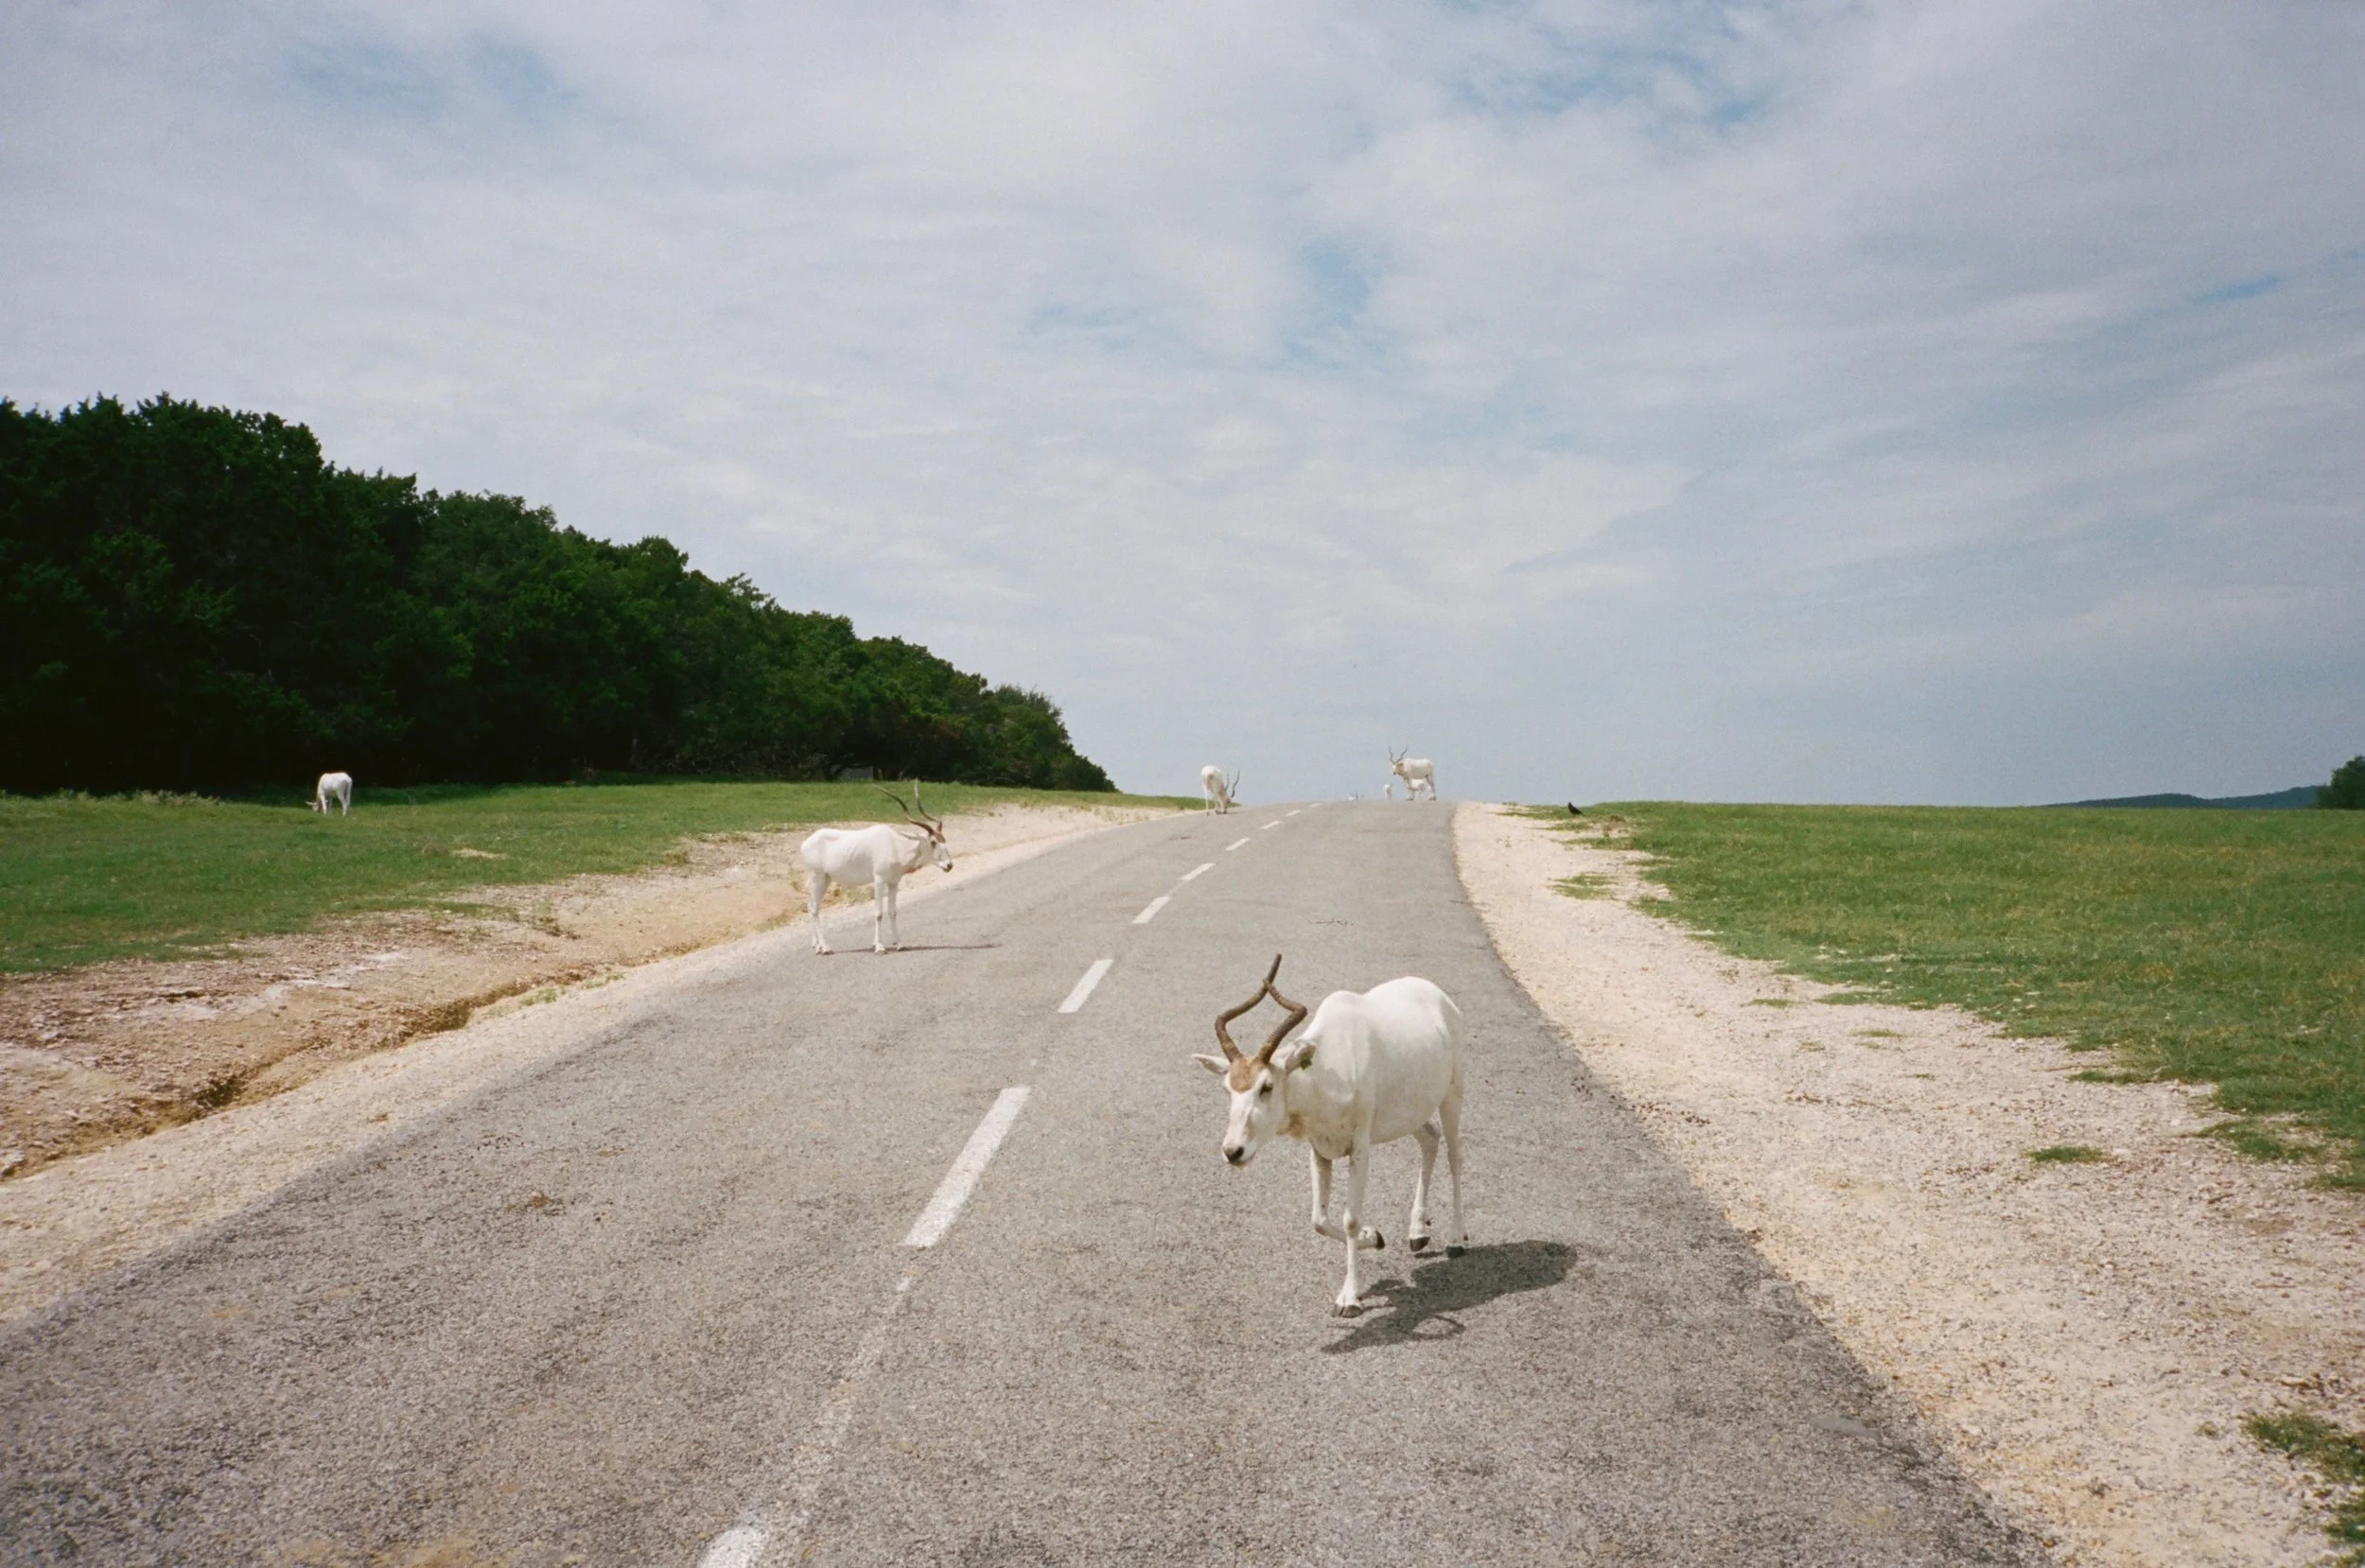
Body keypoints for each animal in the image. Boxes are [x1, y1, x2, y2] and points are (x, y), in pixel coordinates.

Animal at [798, 783, 952, 954]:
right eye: (933, 842)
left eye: (944, 839)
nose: (949, 865)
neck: (895, 846)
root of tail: (806, 843)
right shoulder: (879, 880)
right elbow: (878, 913)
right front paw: (879, 946)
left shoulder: (893, 883)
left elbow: (893, 912)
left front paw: (899, 944)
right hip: (817, 877)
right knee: (814, 909)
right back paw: (825, 948)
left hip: (826, 879)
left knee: (811, 906)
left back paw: (816, 945)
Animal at [1195, 954, 1467, 1316]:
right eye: (1228, 1088)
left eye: (1267, 1086)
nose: (1233, 1151)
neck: (1327, 1070)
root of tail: (1439, 996)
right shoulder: (1320, 1149)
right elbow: (1319, 1220)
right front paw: (1374, 1237)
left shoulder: (1360, 1148)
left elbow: (1350, 1218)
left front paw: (1349, 1298)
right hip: (1412, 1112)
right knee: (1430, 1139)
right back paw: (1418, 1233)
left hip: (1452, 1094)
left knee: (1454, 1156)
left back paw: (1455, 1239)